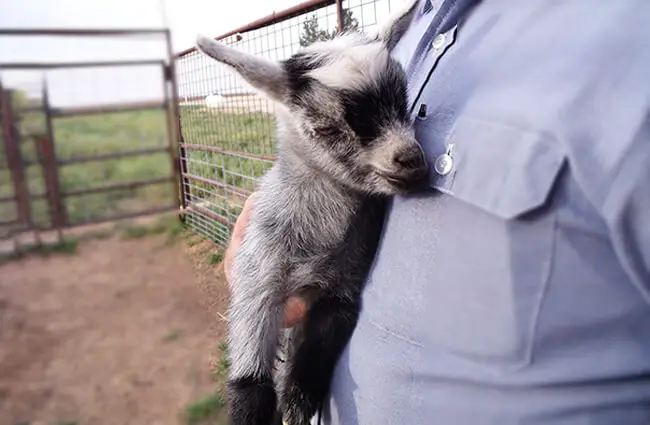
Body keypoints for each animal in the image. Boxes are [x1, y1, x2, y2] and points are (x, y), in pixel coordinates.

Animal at [195, 1, 422, 422]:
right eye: (326, 129)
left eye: (403, 103)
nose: (412, 160)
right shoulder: (257, 277)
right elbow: (249, 374)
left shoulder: (345, 280)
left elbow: (323, 337)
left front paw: (297, 401)